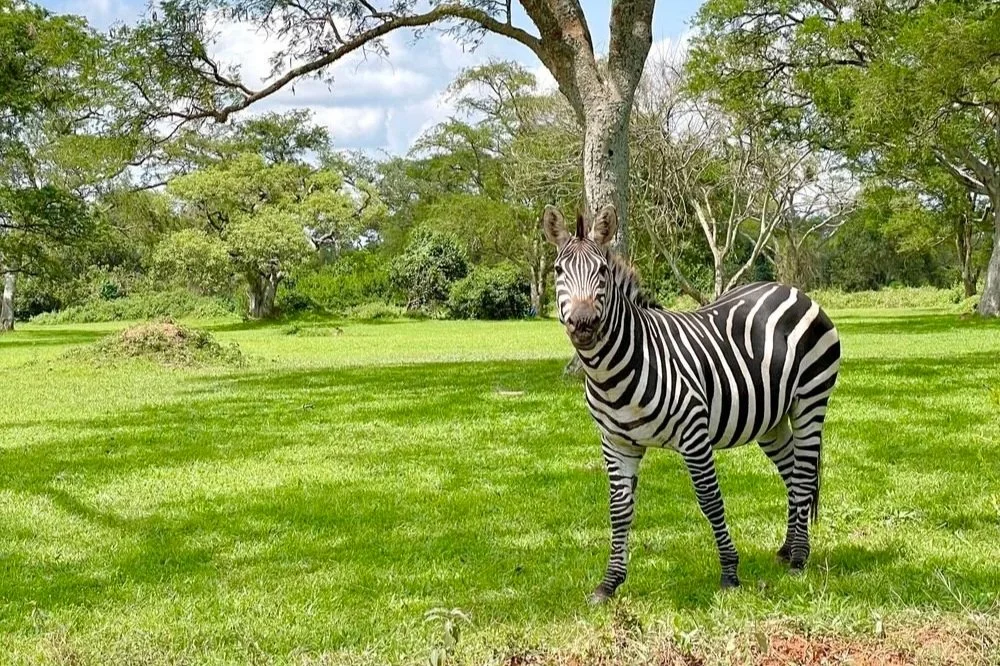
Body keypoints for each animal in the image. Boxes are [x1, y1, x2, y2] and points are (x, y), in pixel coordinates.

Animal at [542, 204, 841, 603]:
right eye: (558, 271)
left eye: (602, 271)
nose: (583, 324)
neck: (616, 369)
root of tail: (791, 290)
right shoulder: (616, 443)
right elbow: (619, 509)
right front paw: (609, 583)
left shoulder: (694, 435)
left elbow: (710, 499)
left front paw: (729, 572)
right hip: (771, 418)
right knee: (792, 472)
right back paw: (786, 548)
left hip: (810, 400)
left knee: (805, 474)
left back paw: (799, 559)